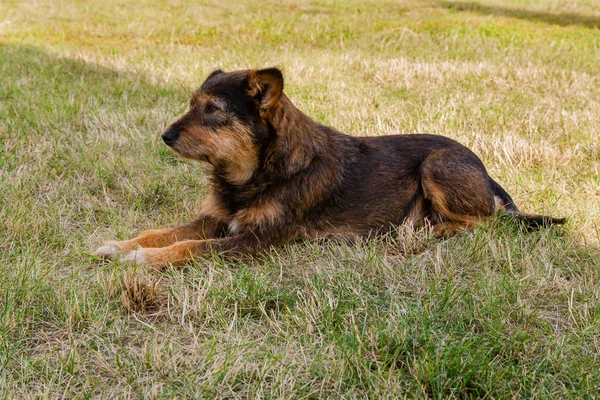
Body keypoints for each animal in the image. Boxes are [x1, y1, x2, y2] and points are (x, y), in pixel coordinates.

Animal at [92, 69, 564, 268]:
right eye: (193, 103)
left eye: (213, 110)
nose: (165, 136)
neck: (256, 172)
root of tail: (486, 173)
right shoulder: (217, 218)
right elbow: (162, 231)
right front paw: (121, 244)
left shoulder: (258, 240)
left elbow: (188, 247)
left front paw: (142, 259)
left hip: (438, 164)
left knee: (486, 221)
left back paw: (425, 231)